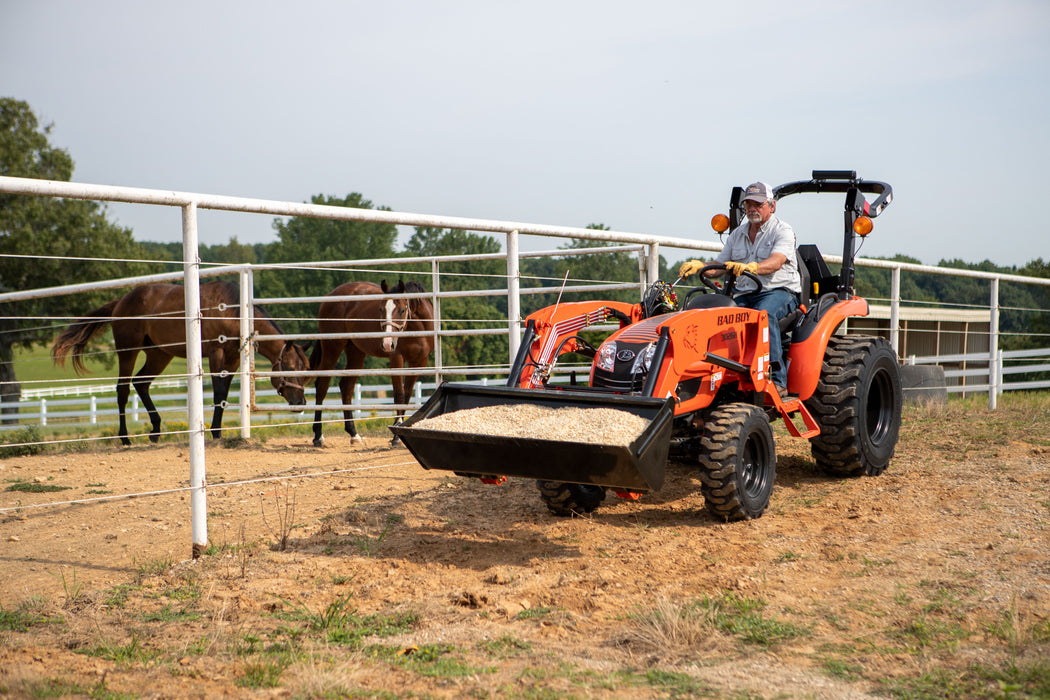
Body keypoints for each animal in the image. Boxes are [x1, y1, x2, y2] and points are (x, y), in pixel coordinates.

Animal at [52, 279, 308, 442]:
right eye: (289, 368)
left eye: (305, 370)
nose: (301, 402)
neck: (231, 311)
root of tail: (120, 302)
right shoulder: (216, 353)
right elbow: (218, 393)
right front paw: (215, 432)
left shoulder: (233, 359)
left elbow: (224, 394)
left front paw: (217, 430)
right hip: (128, 352)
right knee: (123, 389)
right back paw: (124, 437)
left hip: (159, 354)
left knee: (141, 384)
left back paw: (155, 430)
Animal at [308, 277, 432, 447]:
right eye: (380, 309)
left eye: (402, 310)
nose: (387, 344)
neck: (417, 329)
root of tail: (330, 296)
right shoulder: (396, 359)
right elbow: (399, 394)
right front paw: (396, 437)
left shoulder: (419, 362)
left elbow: (406, 396)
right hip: (332, 348)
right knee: (322, 386)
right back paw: (318, 436)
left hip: (356, 352)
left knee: (346, 387)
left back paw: (353, 434)